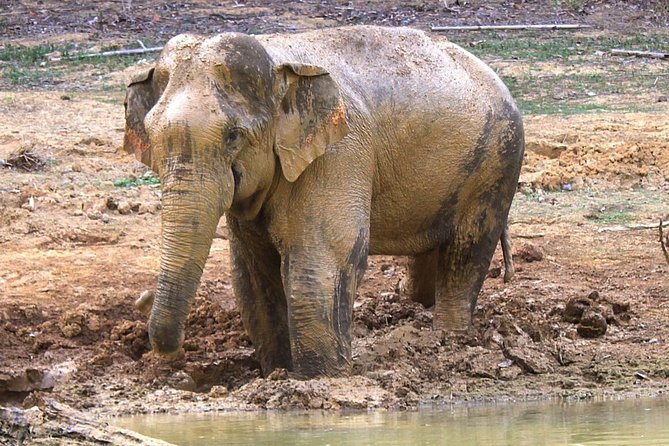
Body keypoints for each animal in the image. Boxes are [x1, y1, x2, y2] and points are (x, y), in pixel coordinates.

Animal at [122, 26, 524, 378]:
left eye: (233, 135)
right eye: (151, 134)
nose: (142, 302)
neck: (278, 61)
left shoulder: (339, 152)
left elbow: (320, 262)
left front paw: (319, 379)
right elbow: (252, 275)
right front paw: (278, 373)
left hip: (498, 162)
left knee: (467, 250)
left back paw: (448, 340)